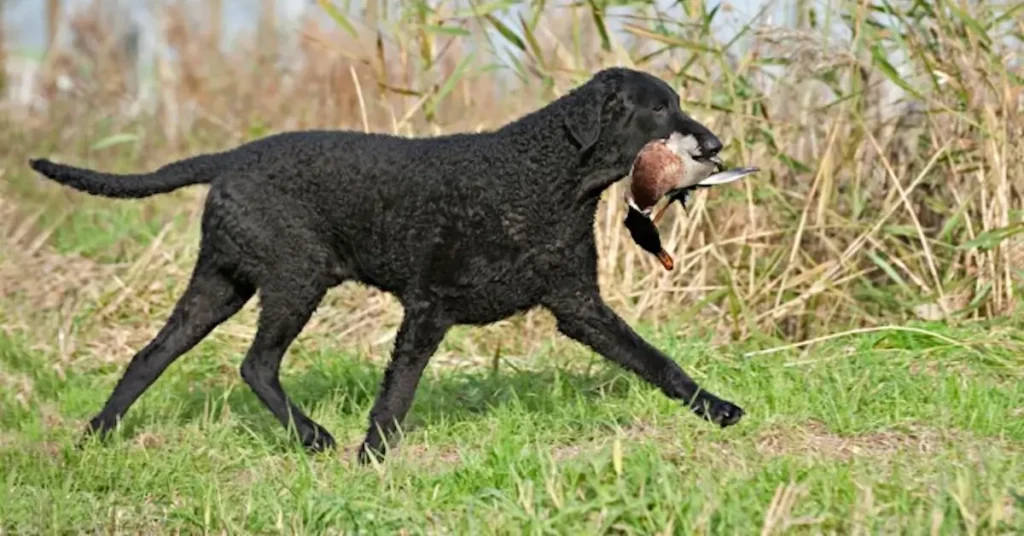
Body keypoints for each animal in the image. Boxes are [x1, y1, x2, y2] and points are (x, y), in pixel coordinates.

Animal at [25, 67, 745, 463]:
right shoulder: (427, 305)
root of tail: (230, 157)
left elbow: (657, 361)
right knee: (256, 364)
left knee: (149, 357)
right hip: (295, 278)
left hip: (221, 283)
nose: (714, 144)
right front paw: (371, 457)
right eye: (660, 107)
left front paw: (716, 409)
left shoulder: (579, 305)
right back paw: (313, 438)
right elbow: (396, 393)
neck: (544, 179)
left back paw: (95, 437)